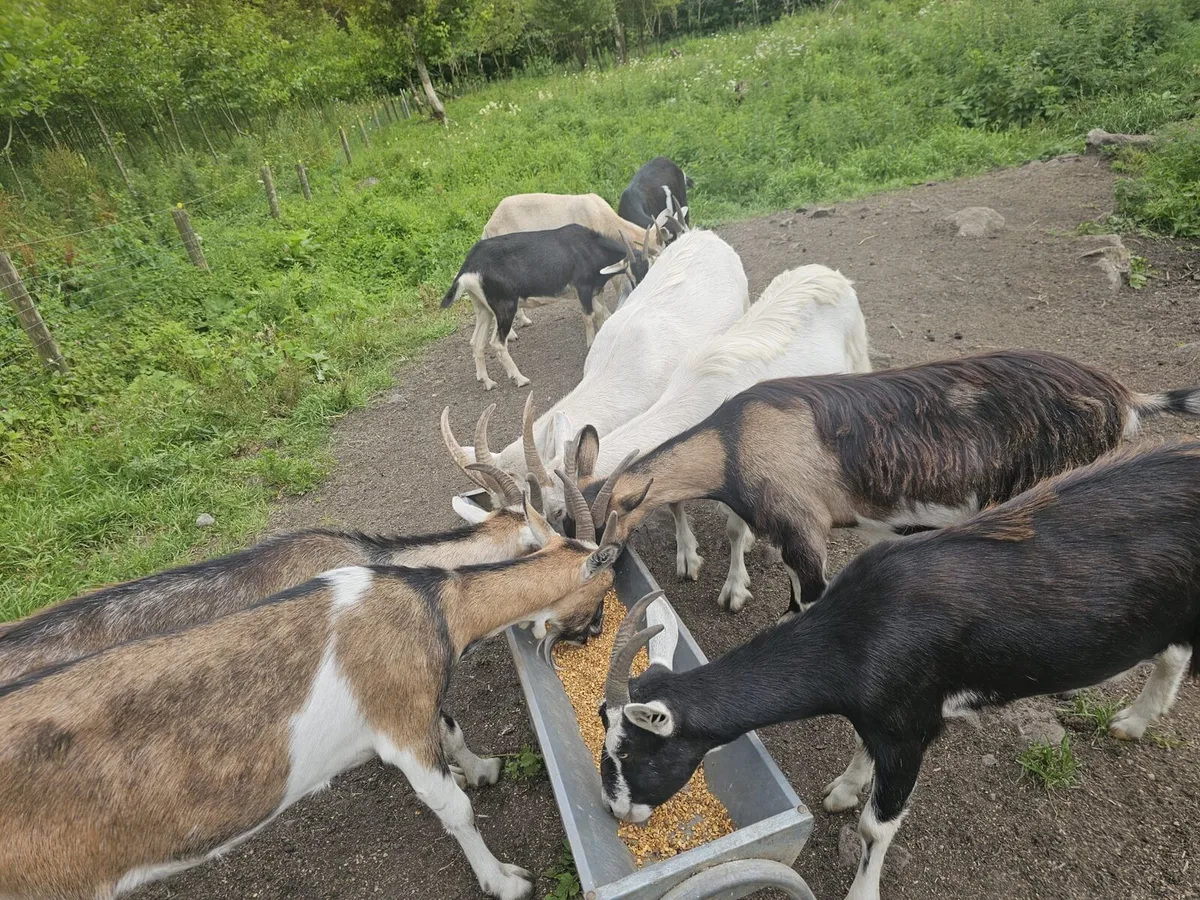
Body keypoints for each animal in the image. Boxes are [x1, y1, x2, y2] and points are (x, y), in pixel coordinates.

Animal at [0, 487, 625, 900]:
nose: (595, 632)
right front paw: (505, 879)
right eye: (601, 586)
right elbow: (454, 803)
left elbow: (450, 728)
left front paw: (481, 767)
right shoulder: (398, 718)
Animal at [441, 225, 649, 390]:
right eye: (631, 272)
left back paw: (487, 382)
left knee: (476, 342)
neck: (589, 247)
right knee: (497, 343)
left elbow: (604, 315)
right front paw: (591, 345)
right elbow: (588, 317)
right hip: (505, 307)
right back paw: (520, 379)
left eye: (648, 268)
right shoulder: (583, 288)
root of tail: (469, 267)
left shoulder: (593, 293)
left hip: (483, 308)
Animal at [563, 264, 871, 612]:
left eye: (602, 538)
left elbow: (734, 531)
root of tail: (827, 272)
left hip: (856, 357)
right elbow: (676, 504)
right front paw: (688, 559)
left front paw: (734, 589)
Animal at [573, 349, 1200, 617]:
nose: (594, 568)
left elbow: (809, 598)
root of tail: (1126, 399)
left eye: (601, 528)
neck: (732, 444)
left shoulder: (804, 529)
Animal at [597, 441, 1200, 900]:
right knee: (1173, 652)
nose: (616, 810)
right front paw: (845, 787)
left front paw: (862, 890)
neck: (860, 632)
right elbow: (860, 754)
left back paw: (1133, 721)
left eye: (631, 751)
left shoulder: (913, 727)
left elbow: (874, 826)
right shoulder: (882, 715)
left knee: (1177, 654)